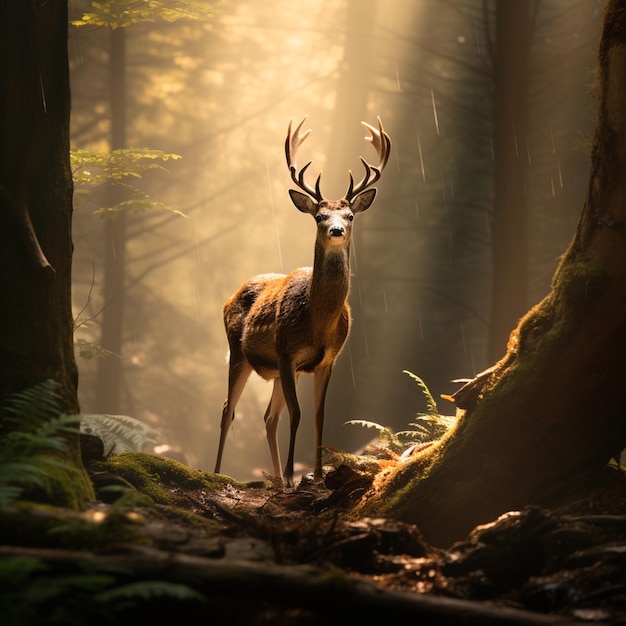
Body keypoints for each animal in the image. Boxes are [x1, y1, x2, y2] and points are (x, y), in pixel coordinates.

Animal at [214, 117, 390, 488]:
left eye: (350, 215)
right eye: (320, 216)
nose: (336, 230)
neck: (318, 324)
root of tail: (228, 298)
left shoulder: (328, 360)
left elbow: (319, 415)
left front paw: (318, 476)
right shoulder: (286, 351)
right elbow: (297, 414)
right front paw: (296, 476)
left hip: (276, 370)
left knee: (268, 417)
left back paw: (278, 482)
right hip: (240, 353)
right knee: (228, 409)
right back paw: (219, 472)